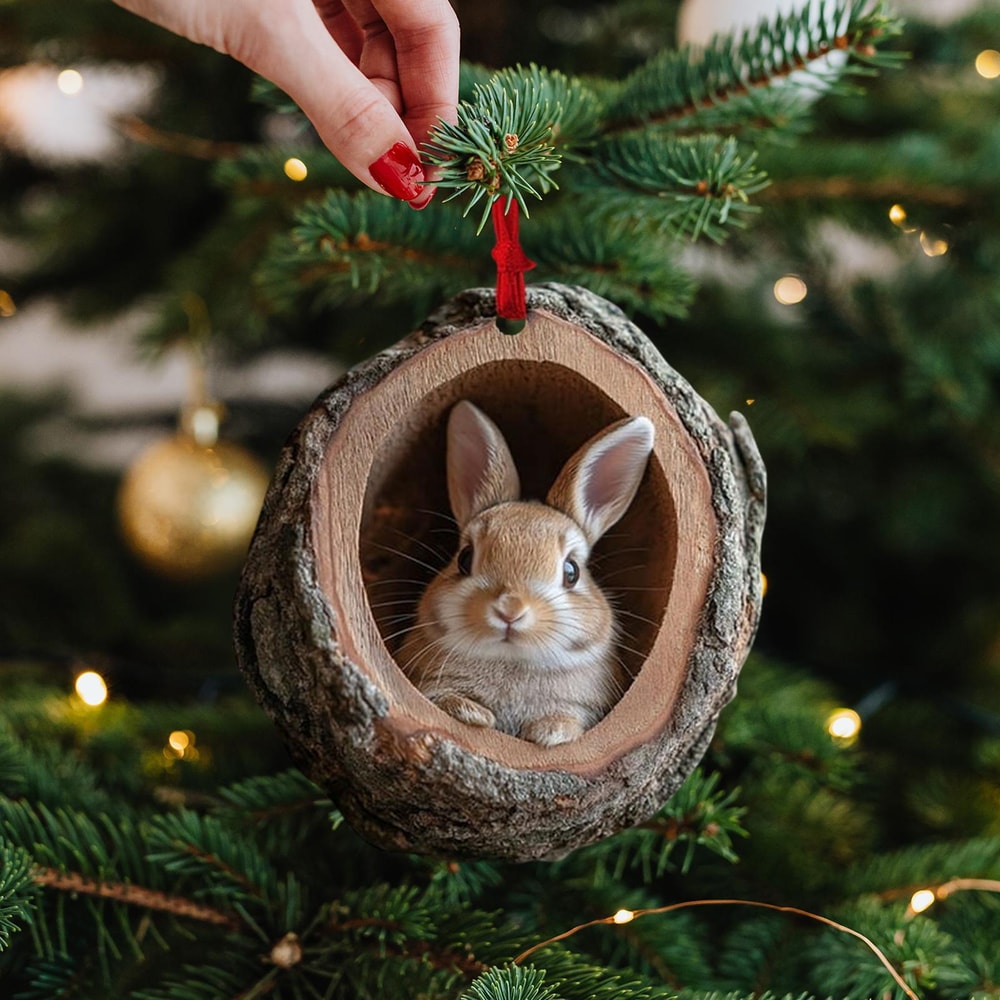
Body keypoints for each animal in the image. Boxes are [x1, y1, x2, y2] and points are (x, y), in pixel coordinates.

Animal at [397, 399, 655, 747]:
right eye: (465, 558)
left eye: (571, 571)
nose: (510, 609)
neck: (512, 660)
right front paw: (473, 714)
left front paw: (550, 731)